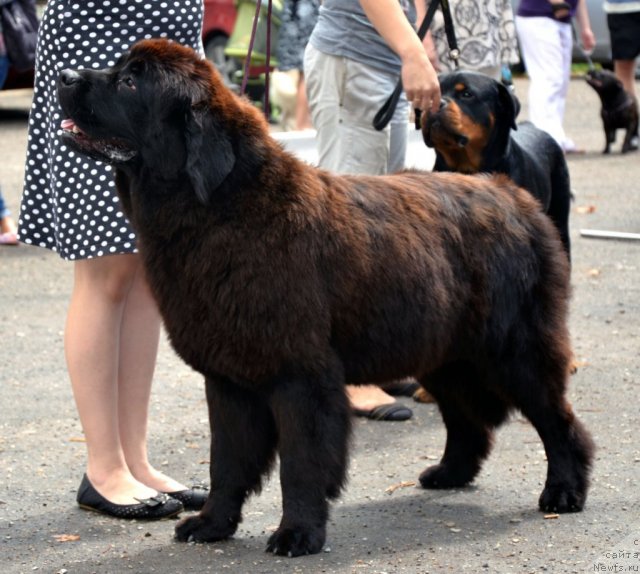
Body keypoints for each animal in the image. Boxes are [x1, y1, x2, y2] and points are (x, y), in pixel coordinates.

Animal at [56, 39, 596, 560]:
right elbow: (226, 462)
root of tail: (511, 194)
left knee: (559, 422)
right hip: (443, 351)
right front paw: (212, 524)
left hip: (514, 351)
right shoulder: (228, 380)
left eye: (130, 82)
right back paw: (450, 474)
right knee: (467, 419)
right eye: (120, 68)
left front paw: (297, 534)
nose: (63, 75)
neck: (221, 211)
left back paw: (564, 492)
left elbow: (300, 464)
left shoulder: (301, 377)